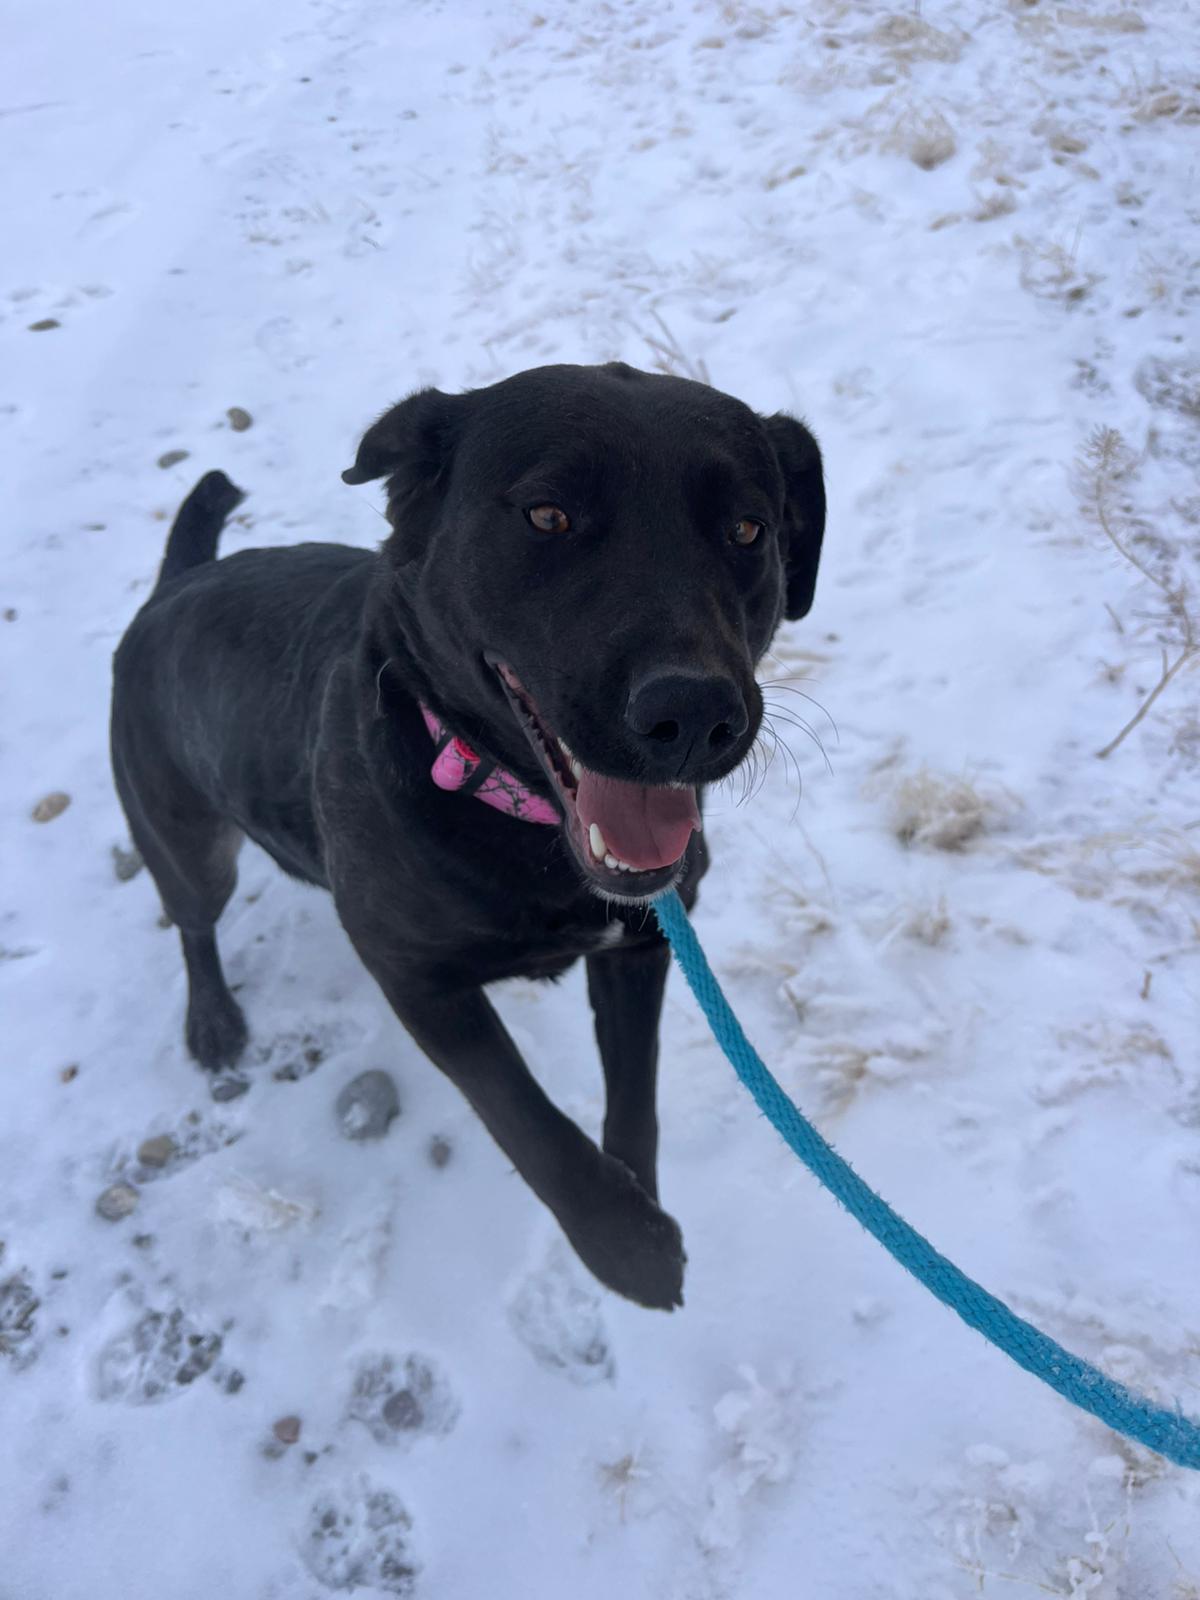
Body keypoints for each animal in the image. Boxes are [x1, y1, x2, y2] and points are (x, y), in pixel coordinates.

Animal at [110, 362, 825, 1310]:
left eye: (748, 530)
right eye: (548, 515)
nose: (696, 713)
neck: (511, 808)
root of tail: (173, 586)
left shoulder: (640, 944)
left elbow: (634, 1094)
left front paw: (636, 1193)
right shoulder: (420, 982)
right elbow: (522, 1114)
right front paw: (623, 1244)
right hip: (187, 843)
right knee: (193, 919)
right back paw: (214, 1018)